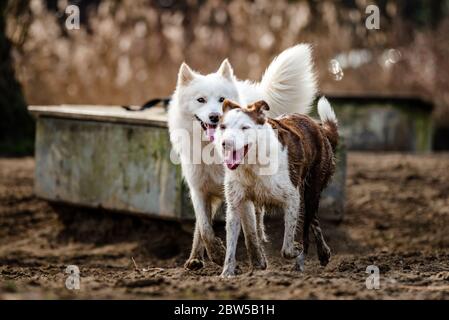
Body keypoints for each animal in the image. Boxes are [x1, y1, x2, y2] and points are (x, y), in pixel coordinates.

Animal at [166, 44, 316, 270]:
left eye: (221, 100)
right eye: (201, 100)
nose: (215, 117)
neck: (211, 150)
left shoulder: (241, 191)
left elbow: (249, 230)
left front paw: (257, 260)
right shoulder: (198, 190)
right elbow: (204, 227)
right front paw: (216, 254)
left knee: (257, 219)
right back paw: (194, 259)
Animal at [213, 96, 336, 276]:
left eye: (244, 127)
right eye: (223, 127)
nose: (225, 143)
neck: (252, 164)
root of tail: (317, 125)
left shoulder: (292, 198)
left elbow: (287, 246)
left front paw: (295, 250)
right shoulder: (235, 204)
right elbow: (231, 244)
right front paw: (226, 273)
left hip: (311, 191)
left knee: (309, 227)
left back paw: (305, 260)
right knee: (313, 222)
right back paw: (321, 254)